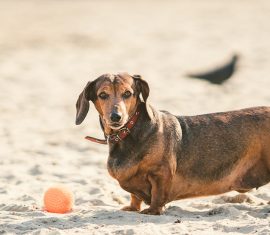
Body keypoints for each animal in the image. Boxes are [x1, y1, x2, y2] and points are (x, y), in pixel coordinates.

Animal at [75, 73, 270, 215]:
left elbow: (157, 194)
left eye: (127, 93)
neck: (129, 132)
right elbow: (134, 196)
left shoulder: (160, 173)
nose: (116, 117)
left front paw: (152, 210)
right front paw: (132, 207)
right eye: (102, 95)